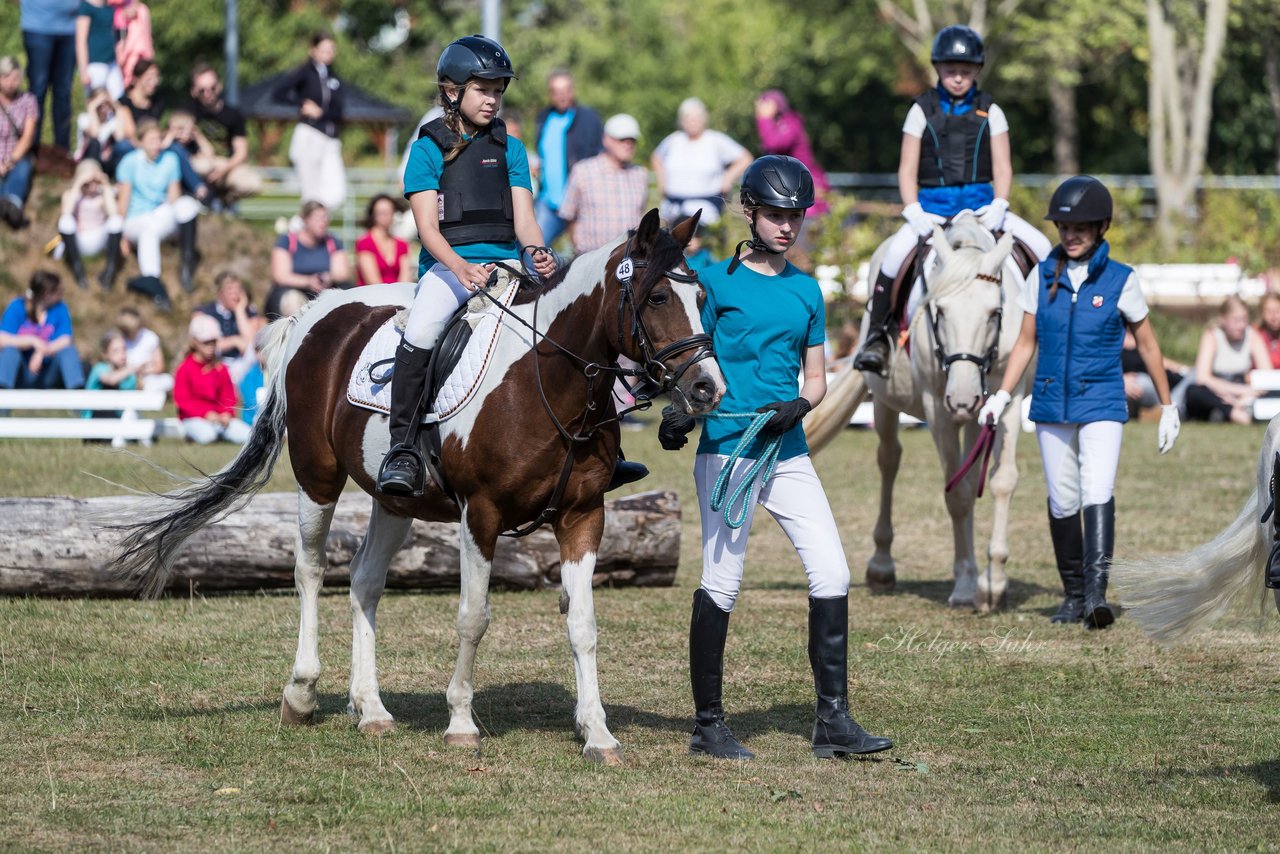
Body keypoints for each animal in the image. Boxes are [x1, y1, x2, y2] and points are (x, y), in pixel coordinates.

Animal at [112, 209, 721, 763]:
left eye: (702, 296)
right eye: (658, 298)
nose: (708, 388)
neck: (547, 382)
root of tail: (316, 310)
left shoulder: (583, 515)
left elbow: (583, 624)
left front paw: (597, 733)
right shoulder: (482, 514)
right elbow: (473, 617)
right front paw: (461, 724)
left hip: (393, 499)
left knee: (364, 580)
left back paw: (371, 709)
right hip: (318, 476)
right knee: (310, 570)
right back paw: (302, 693)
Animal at [808, 215, 1029, 614]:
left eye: (995, 313)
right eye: (938, 310)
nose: (963, 398)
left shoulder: (1010, 397)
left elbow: (1001, 481)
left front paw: (993, 584)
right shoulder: (936, 409)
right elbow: (956, 497)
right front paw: (966, 584)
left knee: (969, 473)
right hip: (885, 402)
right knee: (889, 460)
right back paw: (882, 567)